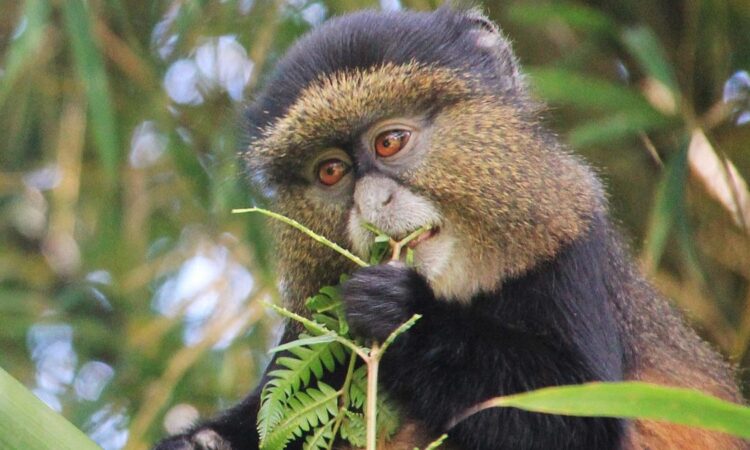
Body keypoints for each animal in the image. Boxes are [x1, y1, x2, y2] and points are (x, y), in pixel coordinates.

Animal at [154, 7, 748, 450]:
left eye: (390, 142)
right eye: (330, 172)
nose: (372, 202)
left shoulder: (570, 250)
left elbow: (581, 423)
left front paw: (402, 310)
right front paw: (198, 443)